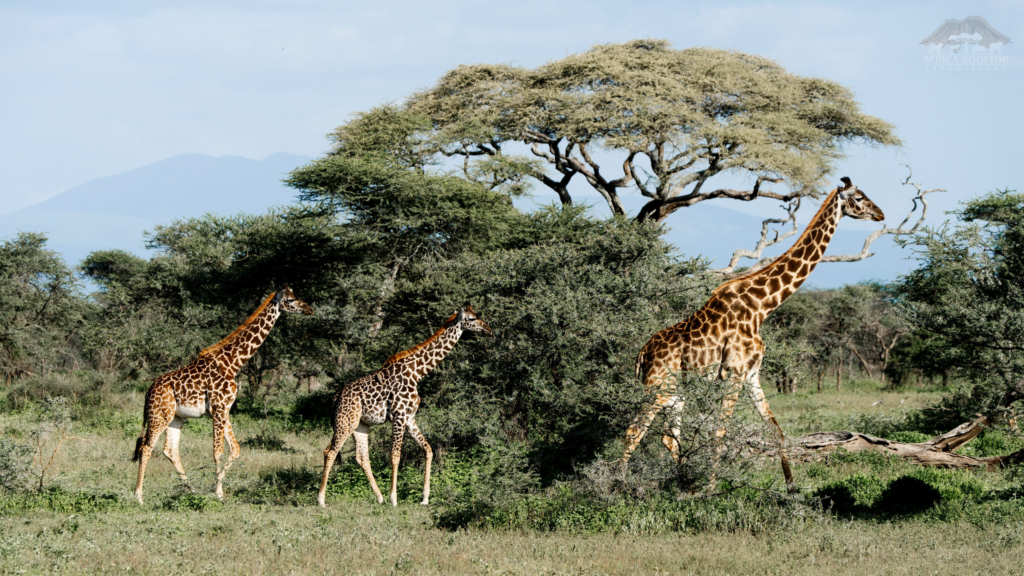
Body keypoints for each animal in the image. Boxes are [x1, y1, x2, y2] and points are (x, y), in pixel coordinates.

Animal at [131, 284, 311, 500]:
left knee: (170, 450)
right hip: (159, 415)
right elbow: (218, 452)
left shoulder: (224, 408)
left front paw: (214, 488)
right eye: (290, 300)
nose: (309, 309)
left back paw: (191, 489)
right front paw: (218, 492)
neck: (233, 364)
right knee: (146, 447)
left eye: (297, 295)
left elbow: (235, 449)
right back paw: (138, 495)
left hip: (175, 417)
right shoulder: (219, 407)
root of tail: (148, 391)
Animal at [315, 303, 491, 504]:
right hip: (345, 422)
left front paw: (424, 498)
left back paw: (379, 498)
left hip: (360, 425)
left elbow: (428, 449)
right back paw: (321, 500)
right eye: (472, 318)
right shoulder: (399, 416)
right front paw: (394, 498)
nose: (489, 329)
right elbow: (395, 456)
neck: (417, 373)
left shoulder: (410, 417)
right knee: (330, 452)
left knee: (360, 457)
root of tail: (336, 397)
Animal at [618, 177, 884, 485]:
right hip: (657, 387)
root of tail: (641, 354)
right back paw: (616, 485)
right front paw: (709, 489)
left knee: (668, 438)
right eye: (860, 197)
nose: (880, 214)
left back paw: (679, 482)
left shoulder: (752, 374)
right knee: (633, 432)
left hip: (675, 393)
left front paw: (792, 488)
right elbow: (720, 433)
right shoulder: (733, 373)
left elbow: (776, 430)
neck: (762, 307)